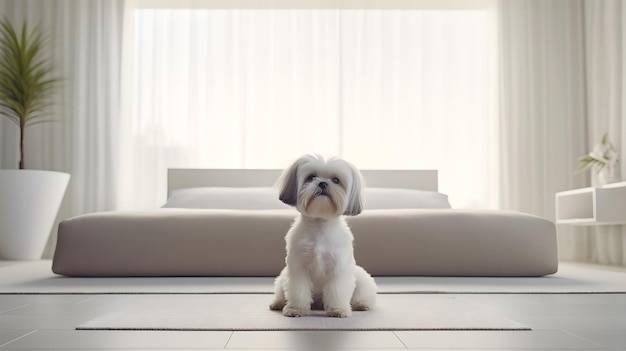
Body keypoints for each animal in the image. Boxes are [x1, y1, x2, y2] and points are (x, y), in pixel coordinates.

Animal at [268, 155, 376, 318]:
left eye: (336, 180)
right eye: (311, 177)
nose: (323, 183)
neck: (320, 225)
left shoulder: (339, 267)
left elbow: (337, 290)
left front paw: (338, 310)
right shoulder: (298, 267)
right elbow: (298, 290)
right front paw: (296, 309)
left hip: (361, 278)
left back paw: (361, 304)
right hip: (282, 278)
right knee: (282, 292)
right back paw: (278, 303)